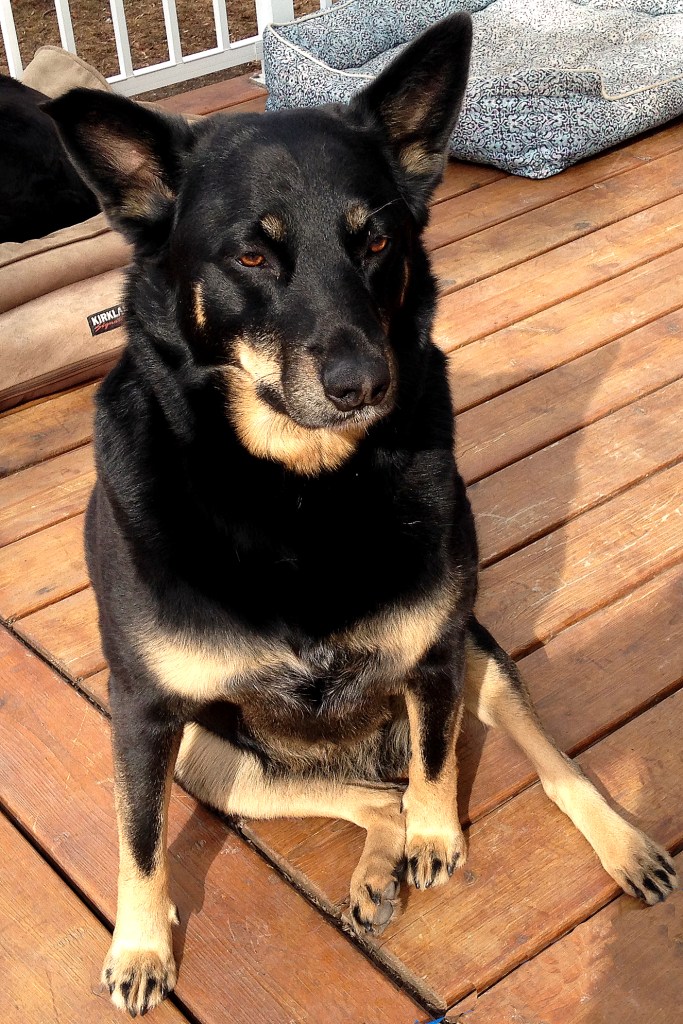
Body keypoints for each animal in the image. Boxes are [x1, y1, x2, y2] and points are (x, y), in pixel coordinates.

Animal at [46, 13, 677, 1018]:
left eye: (377, 242)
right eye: (251, 255)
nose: (363, 384)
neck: (299, 488)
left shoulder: (435, 652)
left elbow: (437, 767)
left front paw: (437, 838)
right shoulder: (141, 714)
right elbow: (137, 843)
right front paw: (140, 946)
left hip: (482, 657)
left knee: (542, 765)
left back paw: (607, 843)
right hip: (206, 756)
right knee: (369, 796)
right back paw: (378, 858)